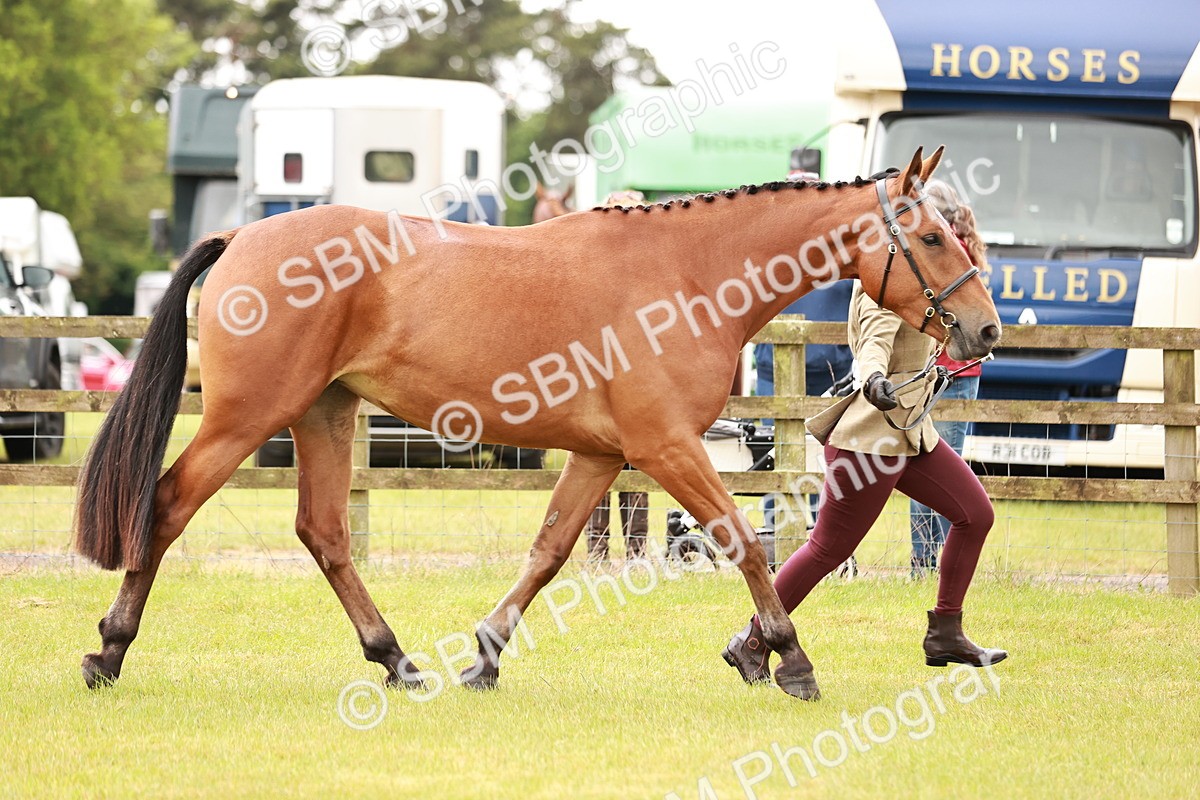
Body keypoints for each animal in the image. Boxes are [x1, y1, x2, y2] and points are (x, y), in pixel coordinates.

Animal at [75, 146, 1000, 699]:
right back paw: (108, 651)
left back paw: (397, 661)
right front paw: (788, 657)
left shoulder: (599, 456)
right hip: (248, 417)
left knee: (326, 533)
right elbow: (742, 539)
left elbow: (551, 551)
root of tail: (242, 236)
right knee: (167, 506)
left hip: (325, 415)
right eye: (929, 236)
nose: (986, 331)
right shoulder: (667, 449)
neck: (687, 275)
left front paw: (484, 655)